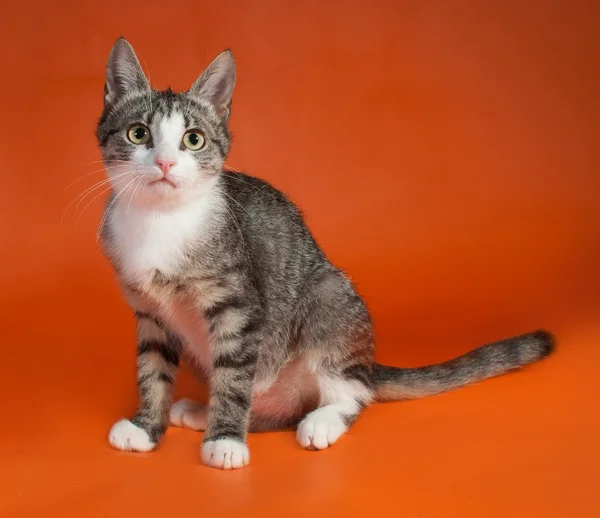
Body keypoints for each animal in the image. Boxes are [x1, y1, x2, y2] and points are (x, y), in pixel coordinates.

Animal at [97, 38, 552, 474]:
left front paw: (225, 441)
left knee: (351, 391)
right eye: (138, 134)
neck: (160, 222)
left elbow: (234, 374)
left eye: (193, 139)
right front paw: (145, 427)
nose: (165, 163)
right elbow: (153, 369)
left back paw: (319, 420)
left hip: (327, 295)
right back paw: (202, 410)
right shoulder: (149, 313)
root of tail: (367, 364)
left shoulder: (238, 306)